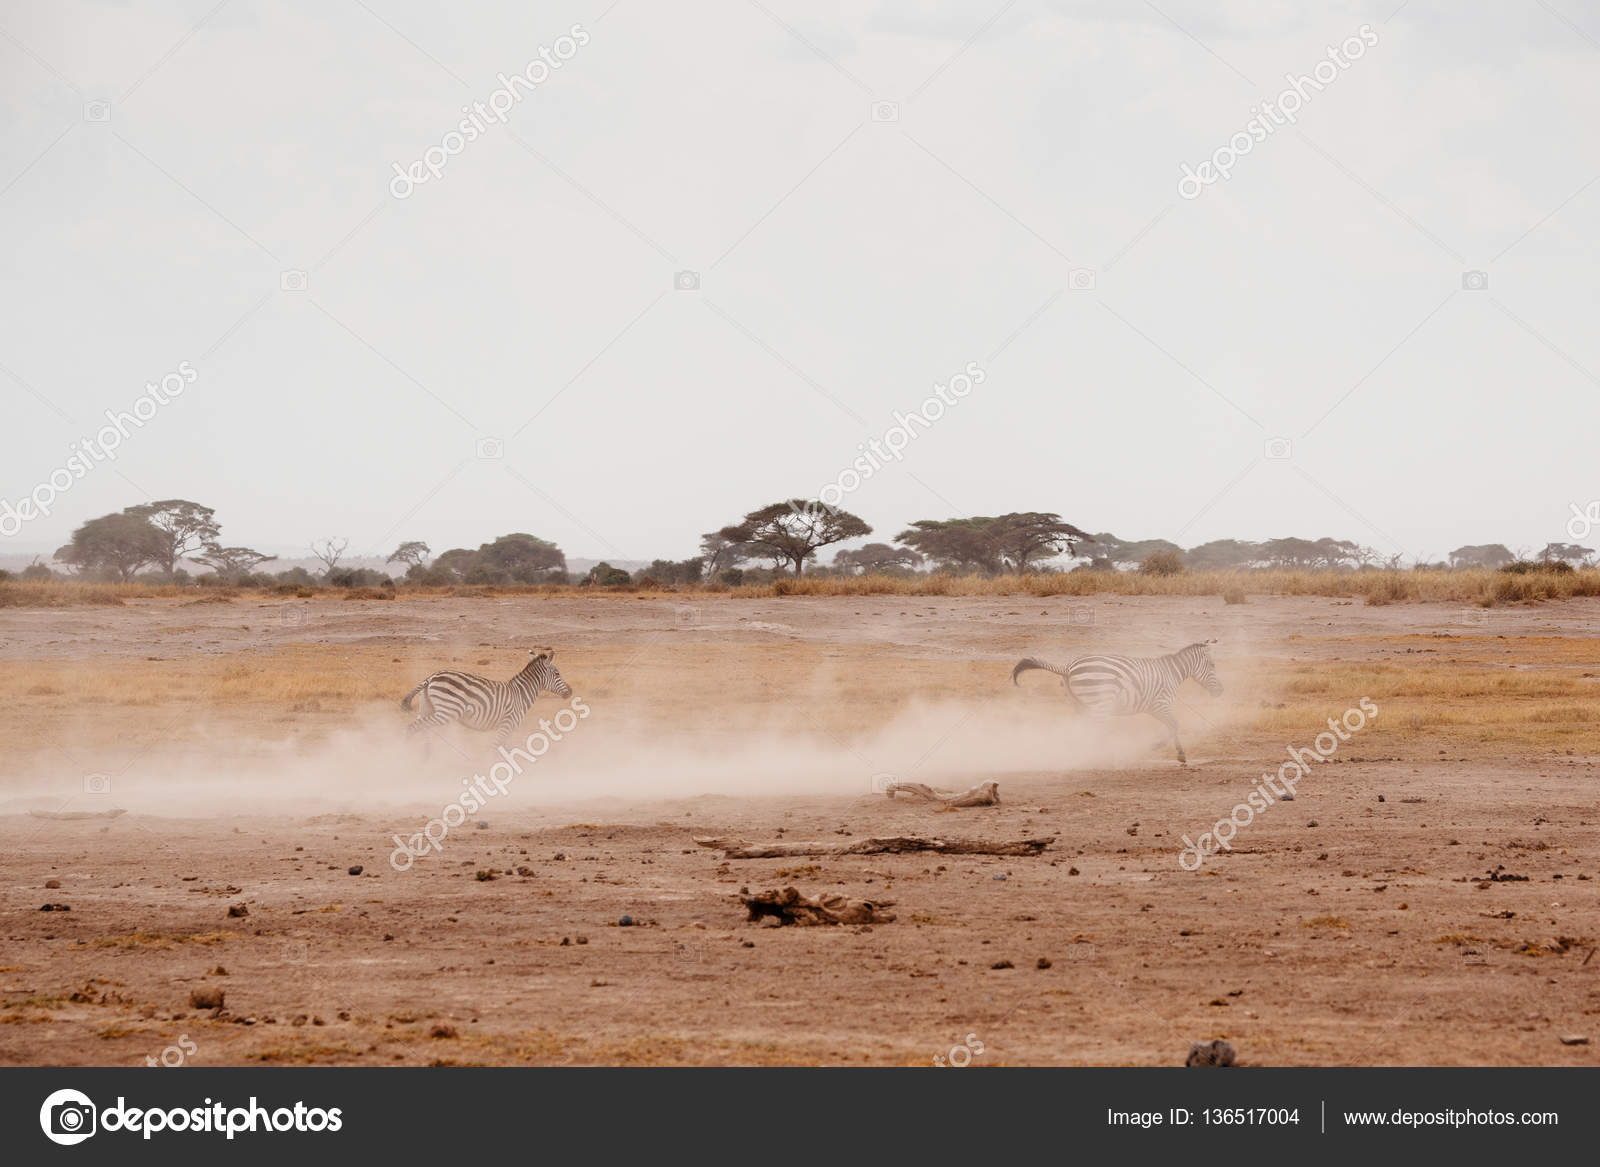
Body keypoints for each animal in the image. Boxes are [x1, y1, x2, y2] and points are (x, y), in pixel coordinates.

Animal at [401, 648, 572, 743]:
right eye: (557, 673)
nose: (570, 692)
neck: (521, 694)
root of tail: (431, 677)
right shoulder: (507, 725)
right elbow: (497, 749)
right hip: (447, 711)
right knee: (413, 727)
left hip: (427, 707)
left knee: (421, 729)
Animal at [1011, 640, 1222, 764]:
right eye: (1213, 665)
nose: (1220, 691)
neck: (1172, 672)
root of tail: (1068, 667)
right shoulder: (1160, 704)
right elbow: (1175, 725)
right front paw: (1159, 747)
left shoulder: (1153, 707)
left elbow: (1173, 726)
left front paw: (1179, 754)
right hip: (1100, 705)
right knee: (1095, 731)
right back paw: (1100, 757)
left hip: (1080, 706)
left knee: (1082, 731)